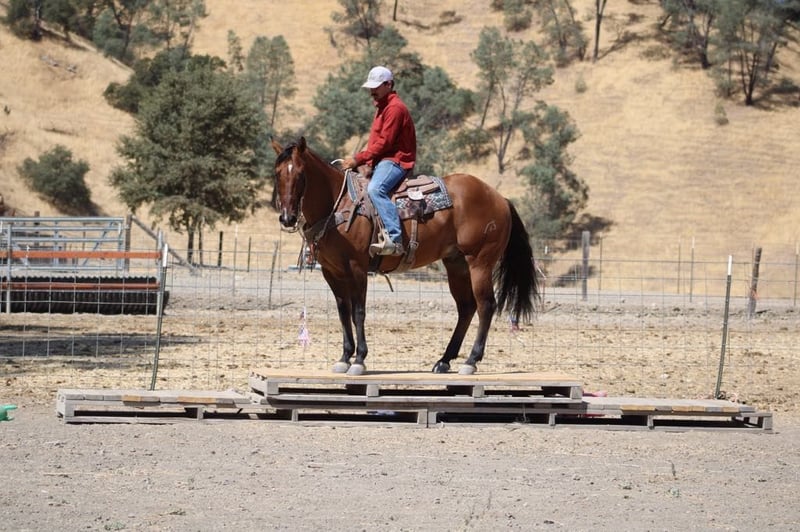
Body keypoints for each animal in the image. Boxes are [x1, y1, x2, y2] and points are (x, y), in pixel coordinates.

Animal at [272, 136, 540, 376]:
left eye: (300, 174)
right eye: (277, 174)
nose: (287, 218)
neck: (339, 204)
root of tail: (500, 198)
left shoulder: (358, 268)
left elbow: (358, 311)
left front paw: (359, 360)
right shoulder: (332, 271)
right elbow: (343, 312)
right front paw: (344, 357)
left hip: (480, 262)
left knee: (486, 305)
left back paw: (471, 361)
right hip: (456, 264)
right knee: (466, 307)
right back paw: (444, 360)